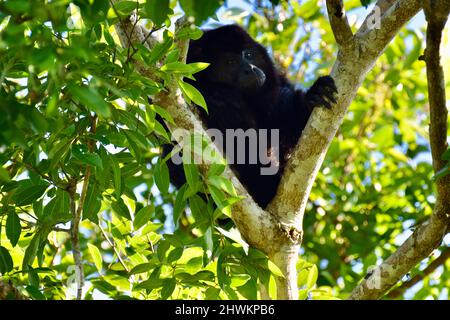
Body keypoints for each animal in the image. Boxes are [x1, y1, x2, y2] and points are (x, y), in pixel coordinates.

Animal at [163, 24, 336, 208]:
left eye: (248, 54)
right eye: (231, 62)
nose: (250, 69)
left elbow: (281, 116)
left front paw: (311, 98)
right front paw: (221, 101)